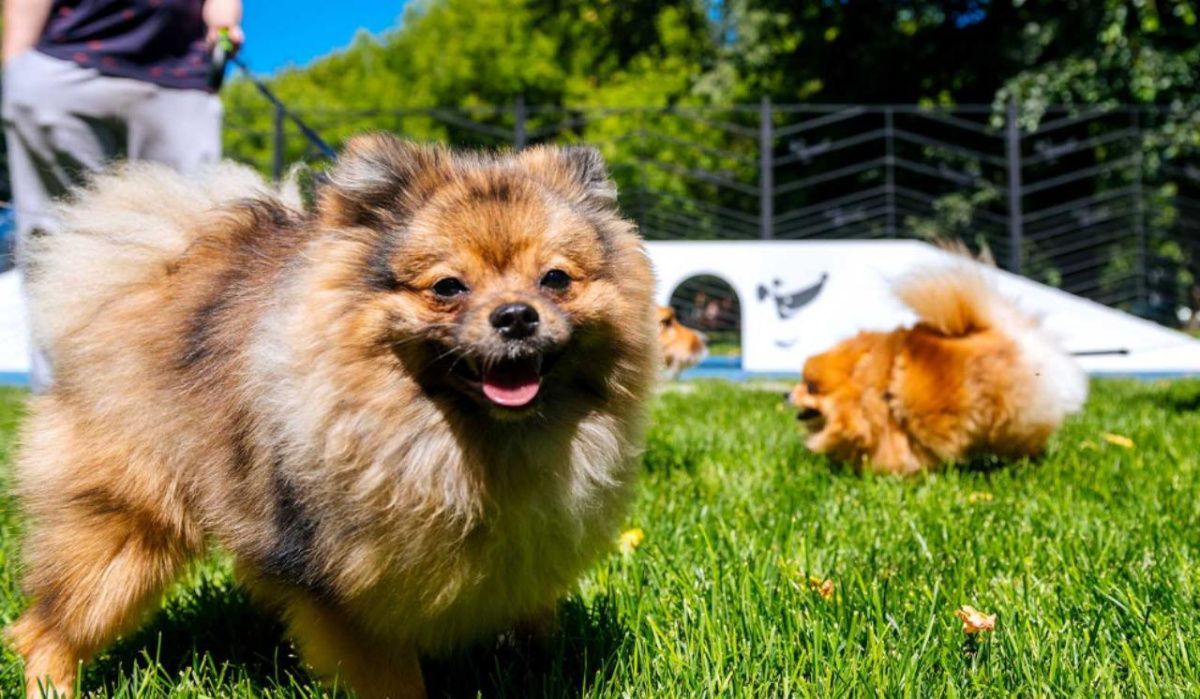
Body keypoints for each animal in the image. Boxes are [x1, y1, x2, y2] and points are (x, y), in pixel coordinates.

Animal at [7, 136, 657, 699]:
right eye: (448, 286)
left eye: (556, 279)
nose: (517, 315)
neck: (468, 443)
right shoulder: (354, 593)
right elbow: (395, 680)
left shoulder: (527, 553)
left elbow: (532, 626)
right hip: (123, 534)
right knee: (46, 628)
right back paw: (51, 685)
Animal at [787, 263, 1089, 475]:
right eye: (801, 382)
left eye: (810, 387)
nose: (787, 395)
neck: (873, 394)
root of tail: (1003, 331)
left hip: (1009, 421)